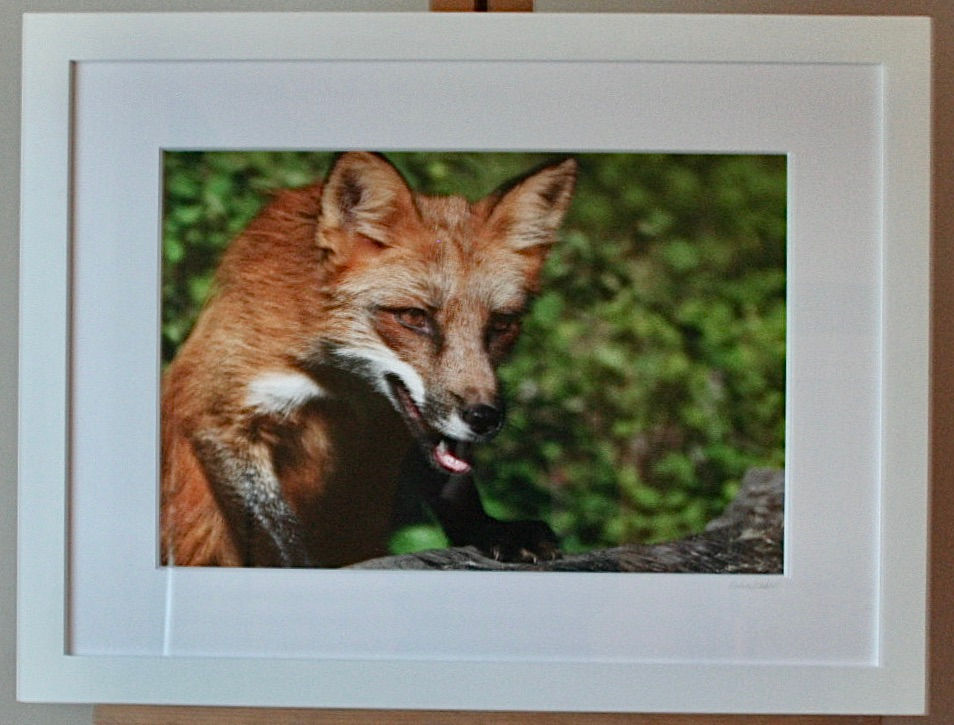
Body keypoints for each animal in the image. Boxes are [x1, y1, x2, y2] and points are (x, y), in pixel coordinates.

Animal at [160, 152, 576, 567]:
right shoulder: (221, 413)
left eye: (501, 325)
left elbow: (454, 486)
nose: (484, 417)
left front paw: (492, 530)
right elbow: (277, 533)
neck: (343, 386)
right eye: (413, 317)